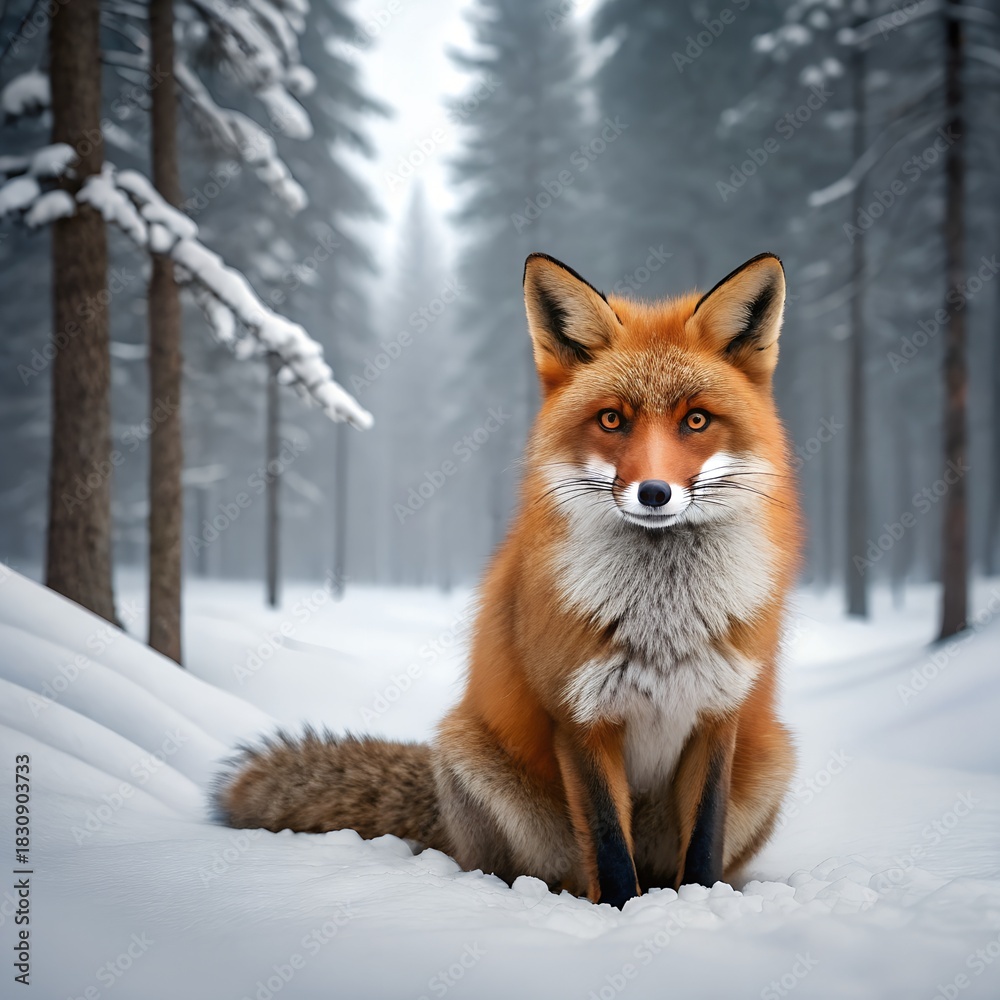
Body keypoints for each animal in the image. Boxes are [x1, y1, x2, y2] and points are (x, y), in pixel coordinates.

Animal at [216, 250, 802, 907]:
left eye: (696, 420)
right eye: (612, 420)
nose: (654, 493)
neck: (661, 623)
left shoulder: (718, 716)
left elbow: (702, 847)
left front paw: (696, 906)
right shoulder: (579, 718)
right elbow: (609, 850)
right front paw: (624, 915)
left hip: (773, 756)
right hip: (476, 758)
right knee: (532, 868)